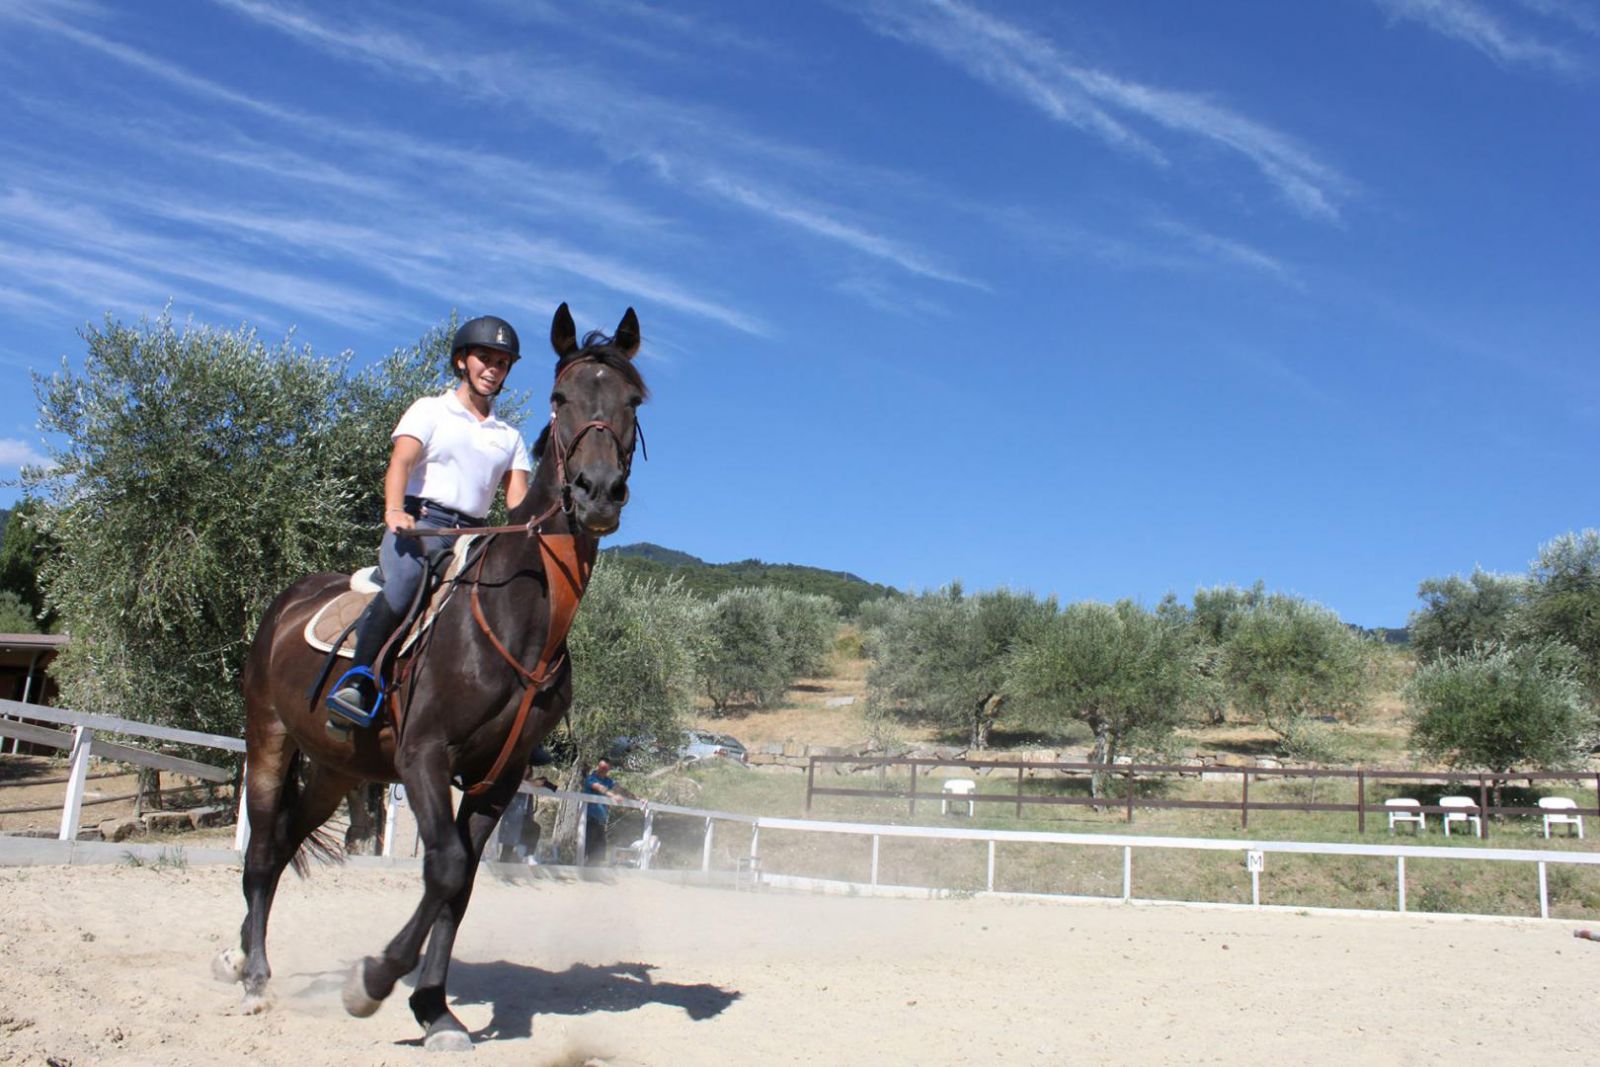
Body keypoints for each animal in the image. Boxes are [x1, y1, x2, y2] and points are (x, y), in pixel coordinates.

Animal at [216, 302, 646, 1049]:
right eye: (561, 397)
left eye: (632, 400)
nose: (597, 494)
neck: (514, 616)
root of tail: (288, 600)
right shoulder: (424, 754)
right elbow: (441, 866)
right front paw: (373, 983)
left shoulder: (497, 777)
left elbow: (461, 883)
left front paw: (434, 1008)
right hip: (268, 738)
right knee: (264, 851)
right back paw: (253, 972)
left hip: (337, 768)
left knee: (290, 839)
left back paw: (246, 957)